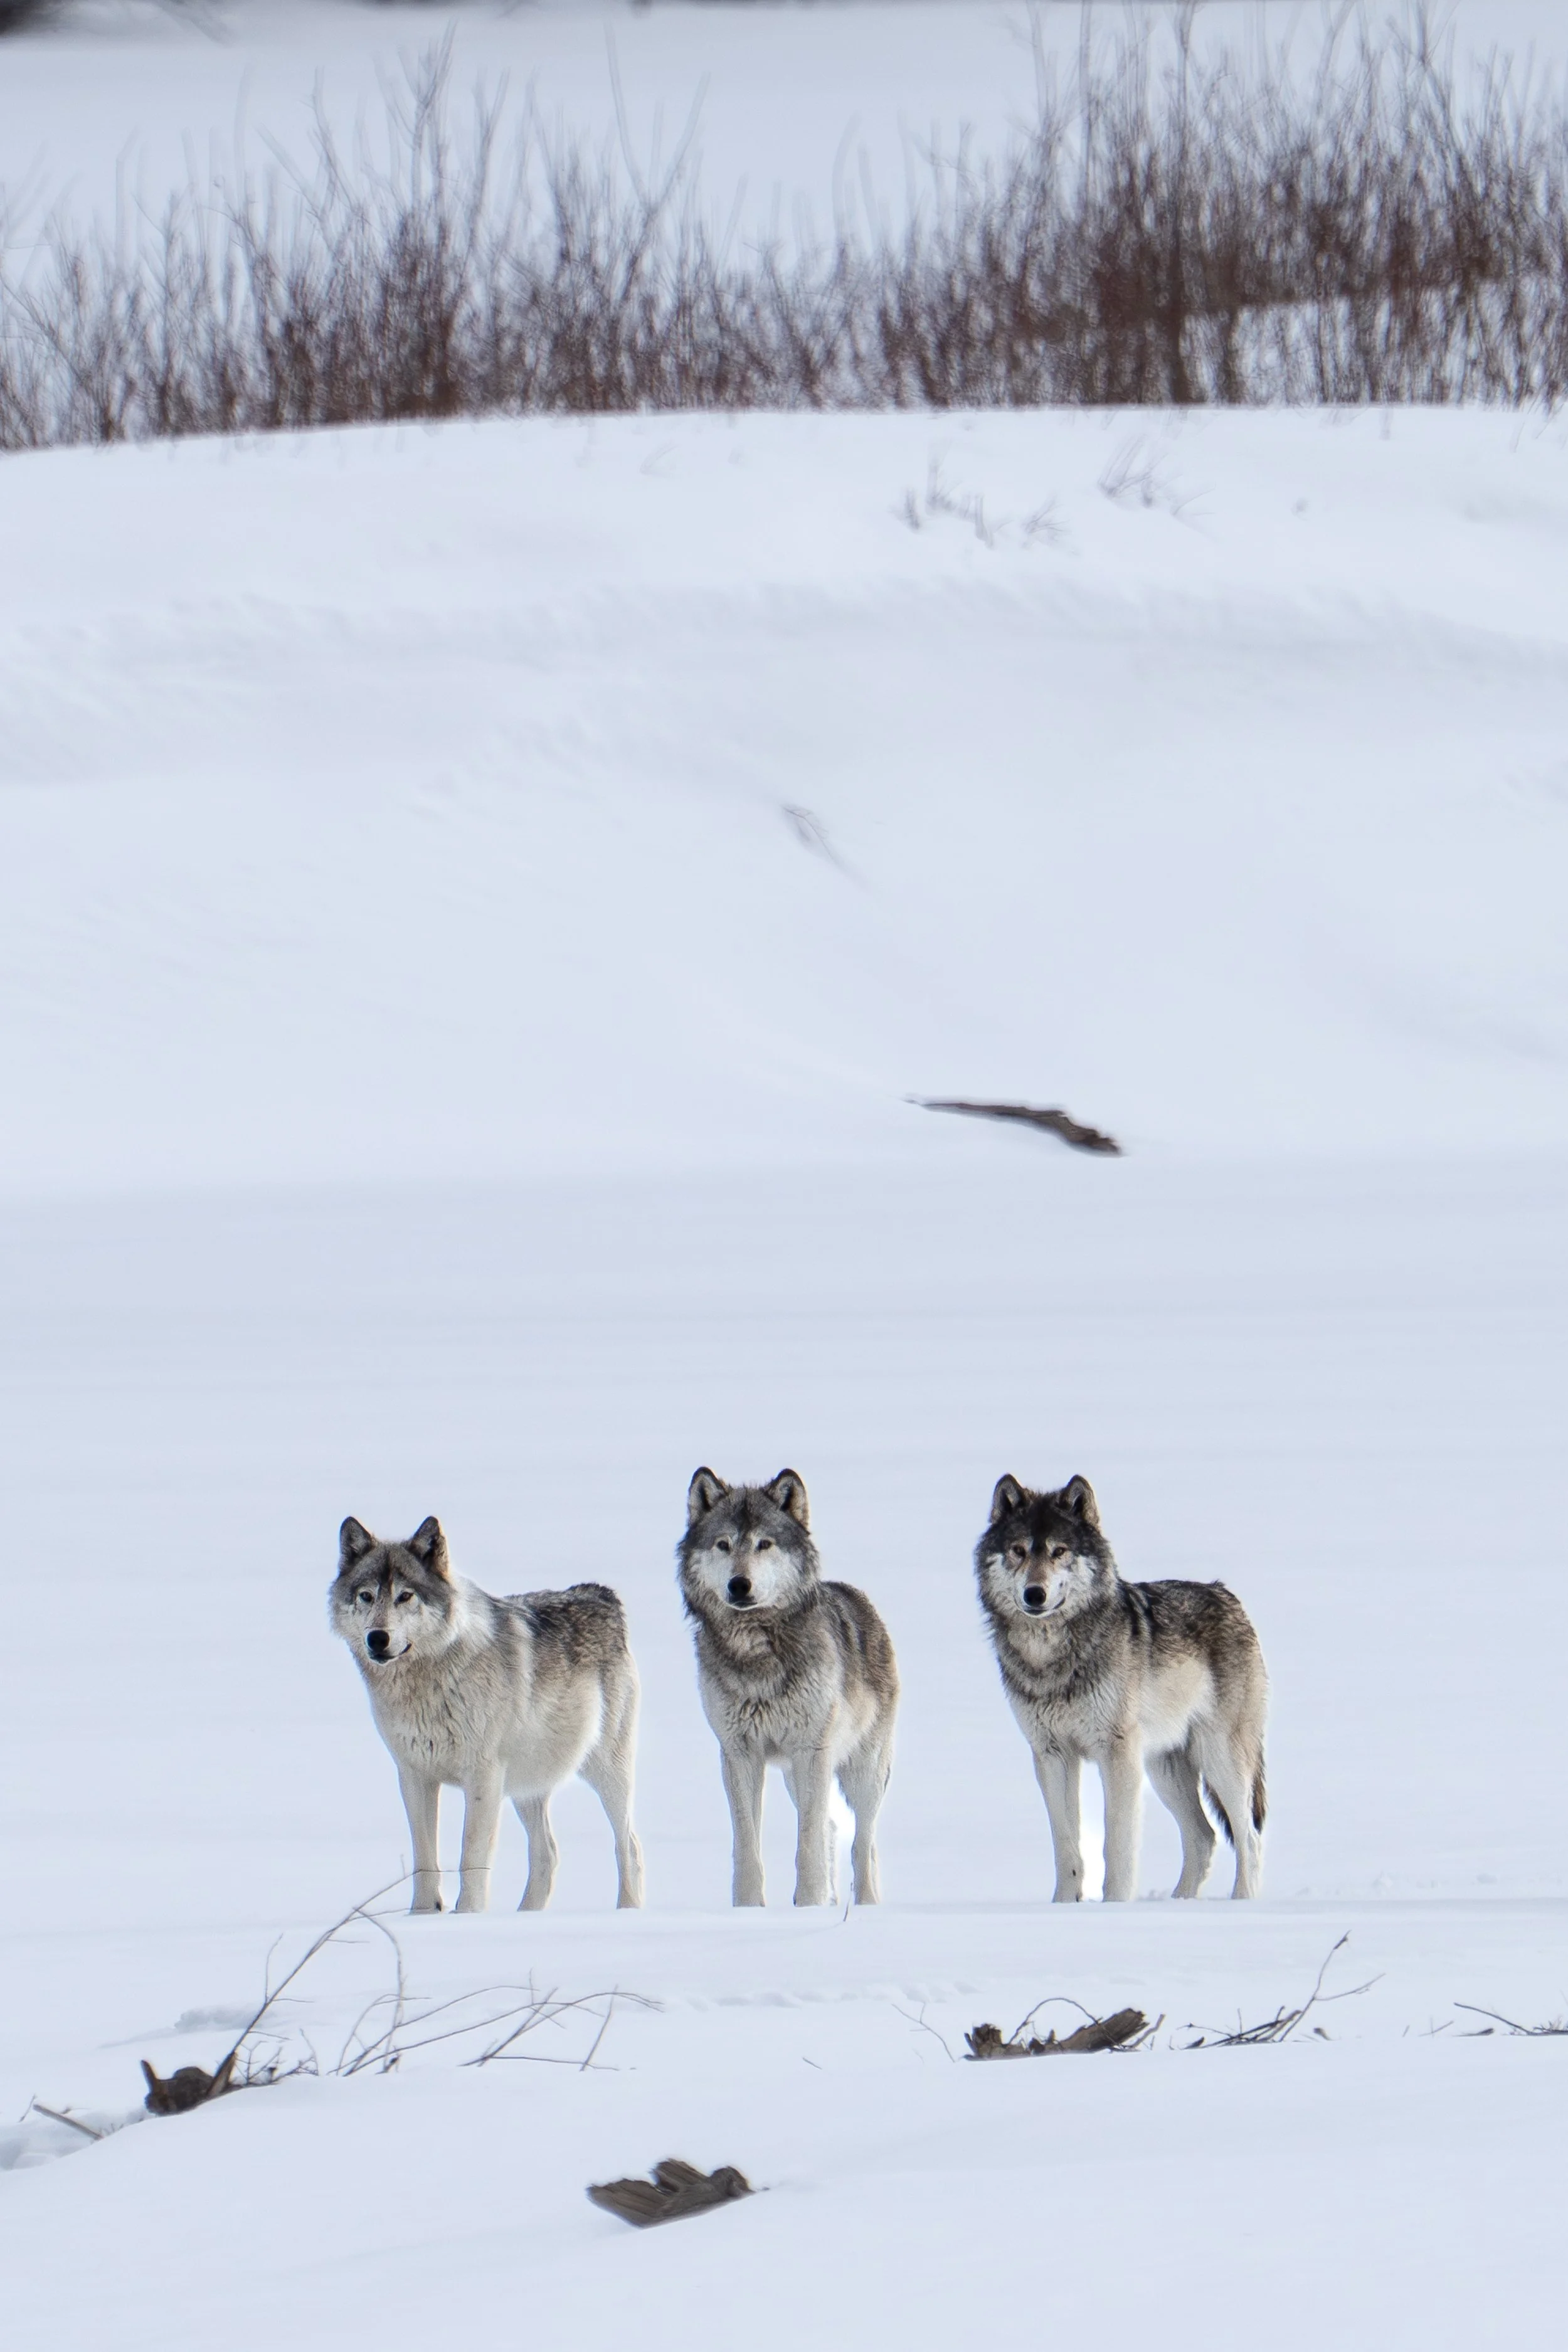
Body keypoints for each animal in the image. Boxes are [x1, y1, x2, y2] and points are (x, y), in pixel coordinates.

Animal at [329, 1516, 644, 1915]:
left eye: (405, 1596)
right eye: (366, 1596)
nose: (377, 1639)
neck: (428, 1683)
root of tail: (599, 1593)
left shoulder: (483, 1777)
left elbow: (471, 1856)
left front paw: (468, 1917)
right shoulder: (413, 1776)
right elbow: (423, 1859)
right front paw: (422, 1916)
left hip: (606, 1771)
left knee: (628, 1845)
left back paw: (627, 1911)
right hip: (527, 1785)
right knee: (547, 1853)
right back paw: (525, 1917)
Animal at [679, 1468, 898, 1907]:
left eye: (764, 1544)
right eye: (724, 1544)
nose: (739, 1585)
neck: (756, 1652)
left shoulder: (811, 1751)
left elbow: (808, 1842)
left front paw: (809, 1904)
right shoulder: (738, 1753)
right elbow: (747, 1843)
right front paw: (748, 1909)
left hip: (861, 1772)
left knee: (863, 1843)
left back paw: (865, 1905)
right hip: (795, 1777)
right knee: (834, 1828)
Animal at [975, 1474, 1267, 1901]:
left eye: (1059, 1551)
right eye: (1018, 1551)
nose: (1035, 1594)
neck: (1051, 1656)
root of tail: (1226, 1594)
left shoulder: (1117, 1754)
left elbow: (1116, 1845)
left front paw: (1115, 1905)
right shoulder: (1051, 1755)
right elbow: (1067, 1848)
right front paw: (1063, 1905)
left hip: (1218, 1759)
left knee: (1248, 1838)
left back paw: (1241, 1901)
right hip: (1165, 1769)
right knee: (1204, 1837)